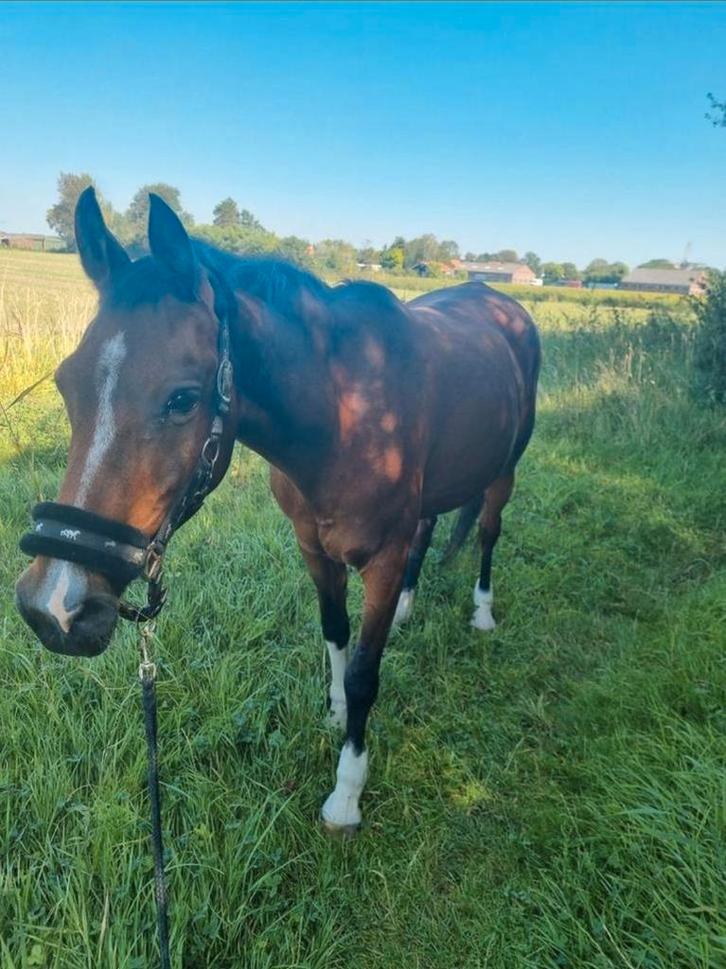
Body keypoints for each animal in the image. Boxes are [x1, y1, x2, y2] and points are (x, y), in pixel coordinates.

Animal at [16, 188, 540, 834]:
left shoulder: (382, 561)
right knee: (429, 529)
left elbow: (366, 672)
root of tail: (505, 307)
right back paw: (408, 609)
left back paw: (483, 612)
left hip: (504, 473)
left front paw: (347, 792)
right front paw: (335, 713)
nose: (52, 608)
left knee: (488, 532)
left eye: (183, 399)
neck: (345, 414)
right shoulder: (314, 548)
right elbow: (336, 634)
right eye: (67, 384)